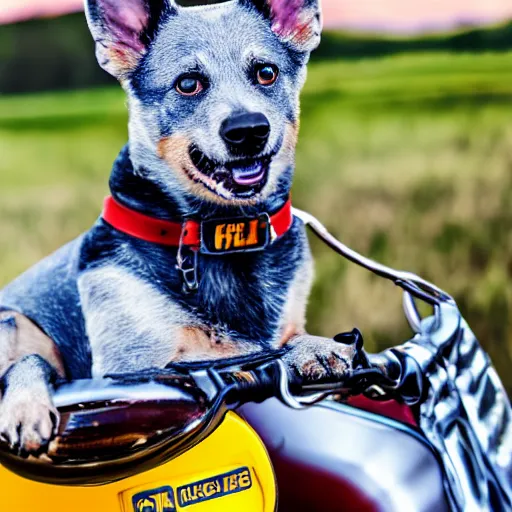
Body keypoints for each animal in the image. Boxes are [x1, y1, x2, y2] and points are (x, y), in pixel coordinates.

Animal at [0, 0, 360, 456]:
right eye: (188, 83)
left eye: (266, 72)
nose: (248, 130)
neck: (221, 234)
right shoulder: (136, 366)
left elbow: (287, 341)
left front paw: (314, 346)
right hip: (15, 323)